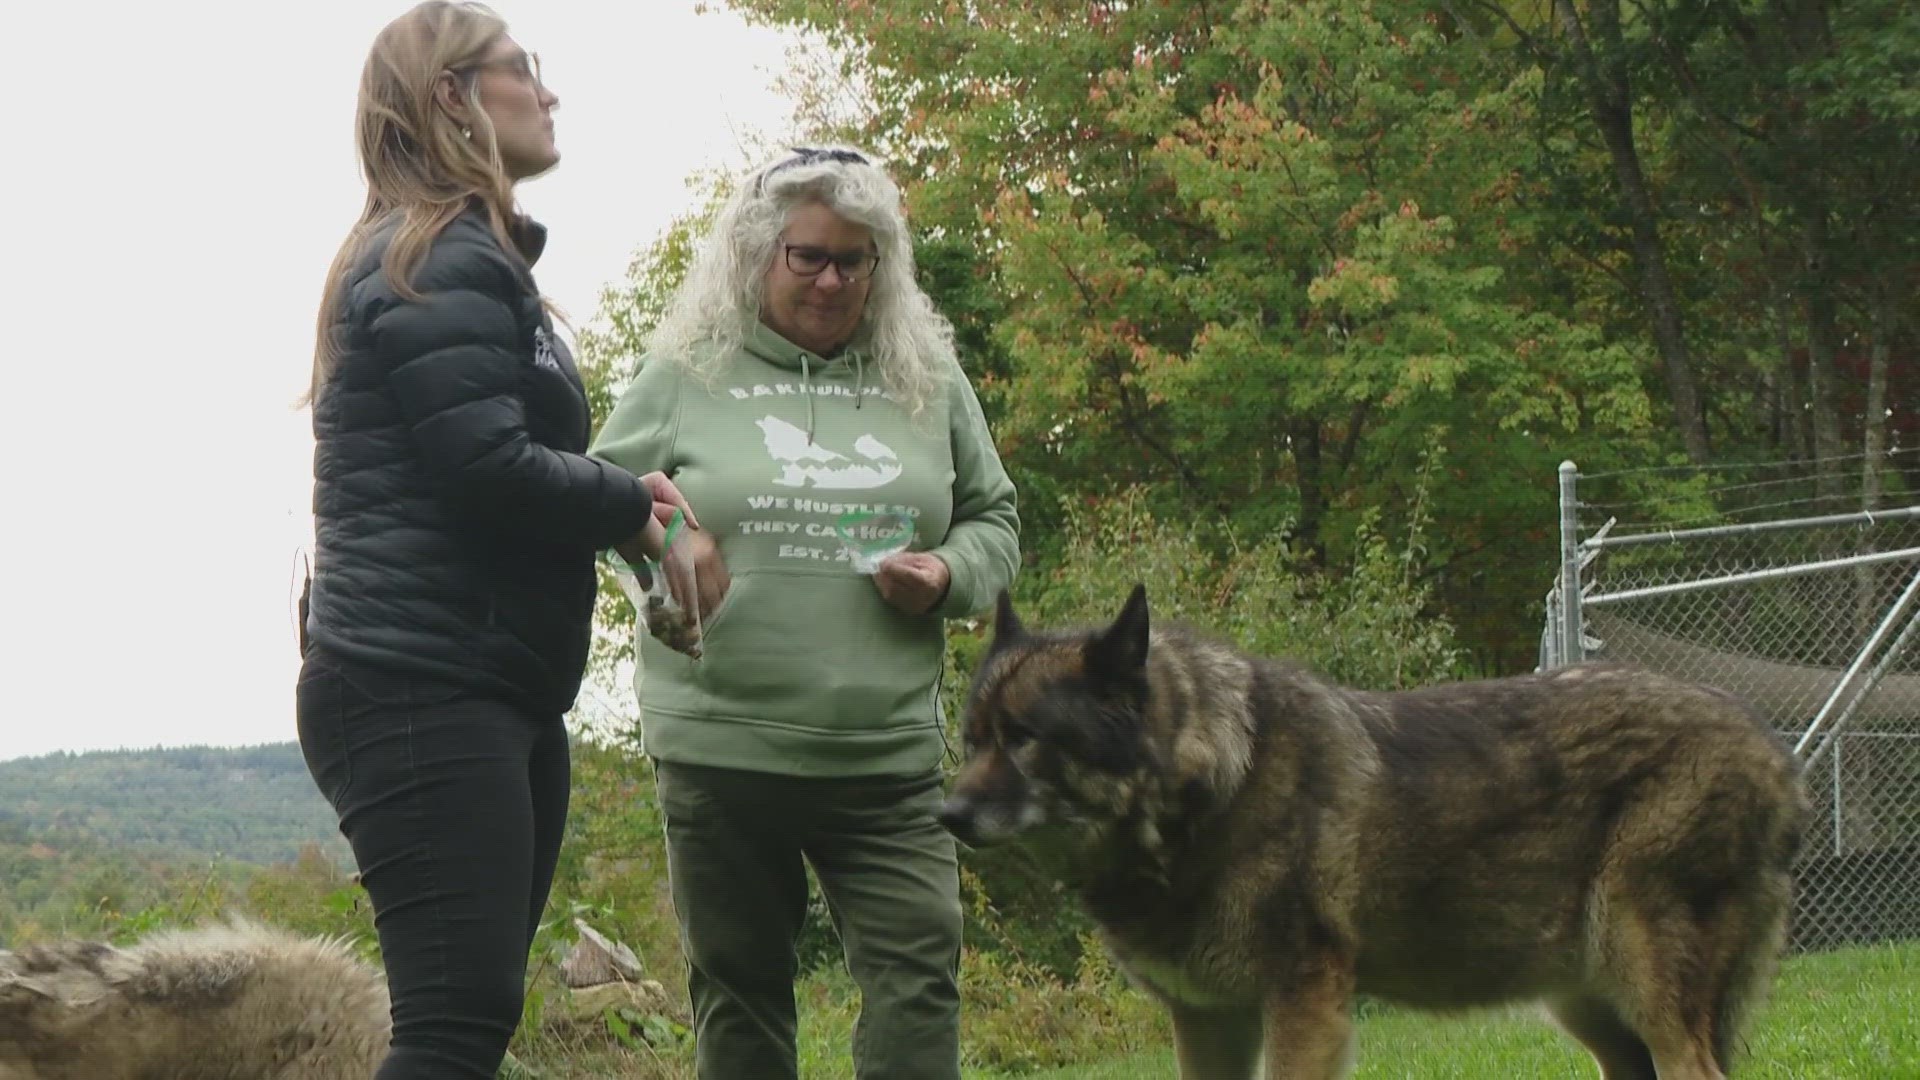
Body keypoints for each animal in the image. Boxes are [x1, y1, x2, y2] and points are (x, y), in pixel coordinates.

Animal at [936, 588, 1804, 1076]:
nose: (946, 816)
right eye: (974, 739)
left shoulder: (1301, 1004)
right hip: (1594, 1014)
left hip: (1644, 991)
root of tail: (1774, 753)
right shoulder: (1209, 1021)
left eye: (1024, 739)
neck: (1207, 791)